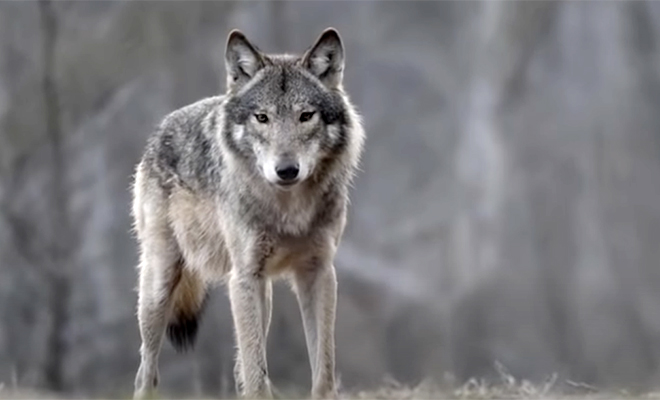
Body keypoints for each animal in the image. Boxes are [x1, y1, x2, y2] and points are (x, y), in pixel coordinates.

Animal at [129, 26, 366, 398]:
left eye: (306, 116)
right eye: (262, 118)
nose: (287, 170)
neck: (288, 210)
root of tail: (161, 127)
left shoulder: (319, 272)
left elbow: (323, 369)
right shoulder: (243, 277)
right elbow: (256, 373)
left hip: (261, 293)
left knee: (241, 363)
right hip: (160, 284)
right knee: (146, 370)